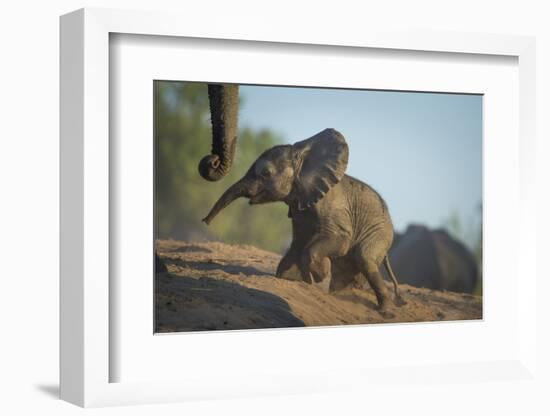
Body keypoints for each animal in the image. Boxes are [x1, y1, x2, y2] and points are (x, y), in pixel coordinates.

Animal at [203, 128, 406, 316]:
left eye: (266, 173)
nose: (205, 221)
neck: (303, 159)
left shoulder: (332, 208)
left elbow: (338, 241)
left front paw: (319, 275)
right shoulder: (299, 207)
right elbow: (299, 241)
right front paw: (293, 278)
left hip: (380, 232)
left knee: (364, 258)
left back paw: (385, 311)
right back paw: (340, 295)